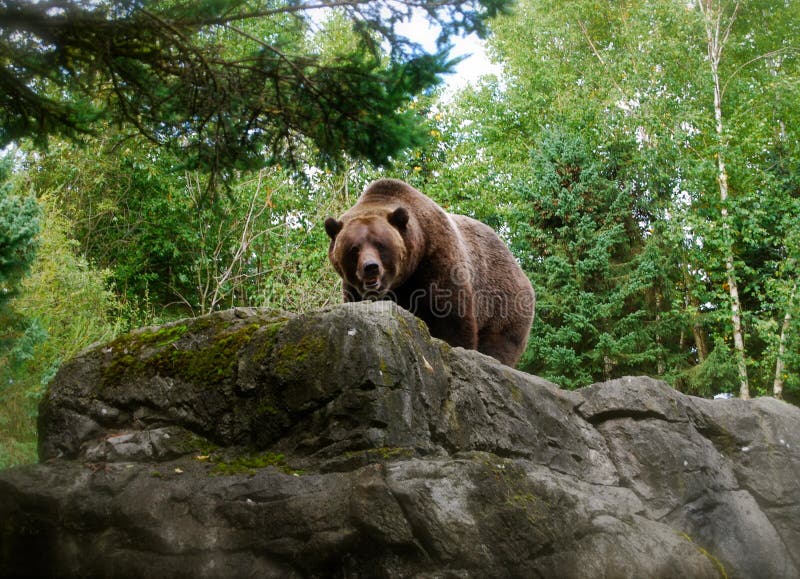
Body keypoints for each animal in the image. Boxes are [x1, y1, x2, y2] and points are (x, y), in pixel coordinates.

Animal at [324, 179, 536, 368]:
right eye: (354, 248)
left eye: (380, 244)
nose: (371, 267)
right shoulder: (353, 288)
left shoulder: (436, 259)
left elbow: (450, 316)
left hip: (501, 299)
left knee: (499, 340)